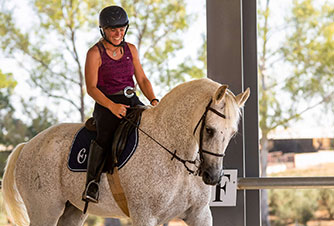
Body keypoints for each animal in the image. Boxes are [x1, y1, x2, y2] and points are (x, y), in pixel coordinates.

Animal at [1, 78, 248, 226]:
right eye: (209, 129)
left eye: (233, 133)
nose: (212, 176)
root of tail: (26, 146)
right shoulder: (145, 216)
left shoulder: (199, 214)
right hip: (45, 211)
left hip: (72, 212)